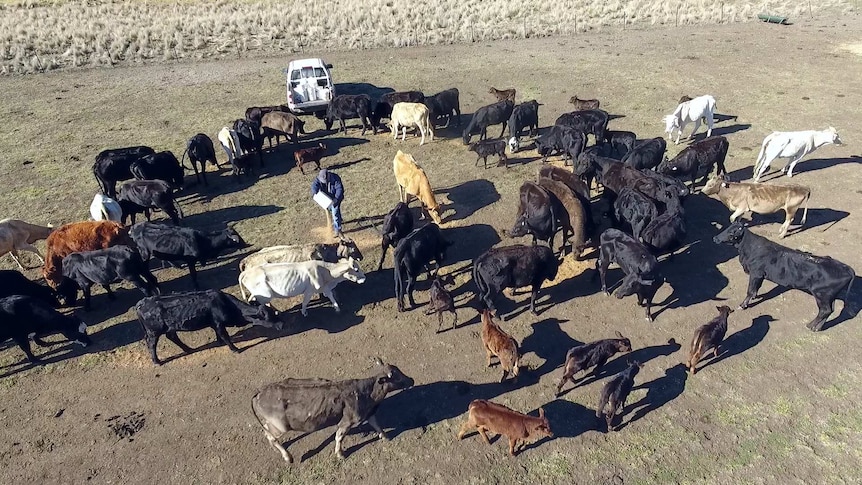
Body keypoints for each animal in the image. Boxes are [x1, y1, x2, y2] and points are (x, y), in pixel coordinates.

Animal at [137, 288, 282, 364]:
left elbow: (219, 336)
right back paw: (157, 361)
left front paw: (219, 343)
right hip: (153, 332)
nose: (282, 324)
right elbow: (225, 336)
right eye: (268, 317)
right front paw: (235, 349)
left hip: (169, 327)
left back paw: (188, 349)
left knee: (172, 336)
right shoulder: (218, 323)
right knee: (151, 344)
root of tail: (141, 302)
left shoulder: (215, 324)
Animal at [238, 258, 366, 314]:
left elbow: (331, 296)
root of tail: (247, 272)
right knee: (260, 303)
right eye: (356, 270)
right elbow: (305, 303)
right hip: (266, 295)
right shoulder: (309, 291)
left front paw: (337, 308)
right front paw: (304, 312)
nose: (364, 278)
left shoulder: (324, 287)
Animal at [250, 362, 416, 464]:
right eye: (396, 376)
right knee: (271, 436)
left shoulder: (368, 413)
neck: (366, 392)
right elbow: (339, 437)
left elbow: (376, 425)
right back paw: (287, 457)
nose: (412, 379)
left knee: (266, 432)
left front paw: (385, 436)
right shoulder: (348, 420)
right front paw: (340, 454)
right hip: (281, 426)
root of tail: (260, 392)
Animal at [716, 220, 856, 328]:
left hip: (821, 295)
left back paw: (810, 325)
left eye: (731, 233)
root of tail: (845, 267)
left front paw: (743, 305)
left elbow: (750, 290)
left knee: (825, 310)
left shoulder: (756, 273)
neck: (749, 248)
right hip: (830, 296)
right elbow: (755, 289)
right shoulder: (760, 275)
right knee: (830, 310)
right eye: (727, 228)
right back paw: (816, 328)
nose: (715, 238)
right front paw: (754, 297)